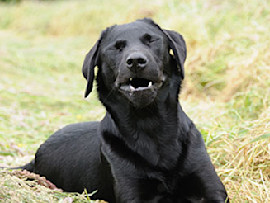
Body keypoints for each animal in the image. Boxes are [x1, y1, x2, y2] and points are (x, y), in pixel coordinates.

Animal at [20, 18, 228, 202]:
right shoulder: (133, 192)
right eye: (116, 47)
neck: (151, 124)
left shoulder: (211, 189)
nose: (136, 60)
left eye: (151, 40)